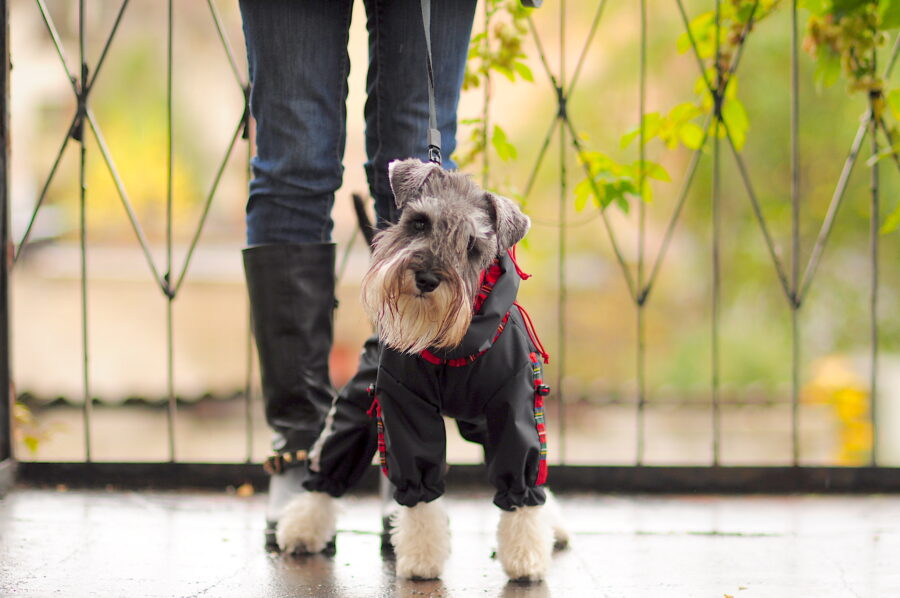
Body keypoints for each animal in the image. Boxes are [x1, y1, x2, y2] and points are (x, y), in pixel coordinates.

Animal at [278, 162, 568, 584]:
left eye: (472, 245)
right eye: (418, 223)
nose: (427, 279)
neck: (455, 343)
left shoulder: (515, 410)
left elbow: (523, 484)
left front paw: (526, 558)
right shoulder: (403, 410)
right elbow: (420, 493)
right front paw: (420, 560)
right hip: (357, 407)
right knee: (328, 465)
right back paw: (301, 529)